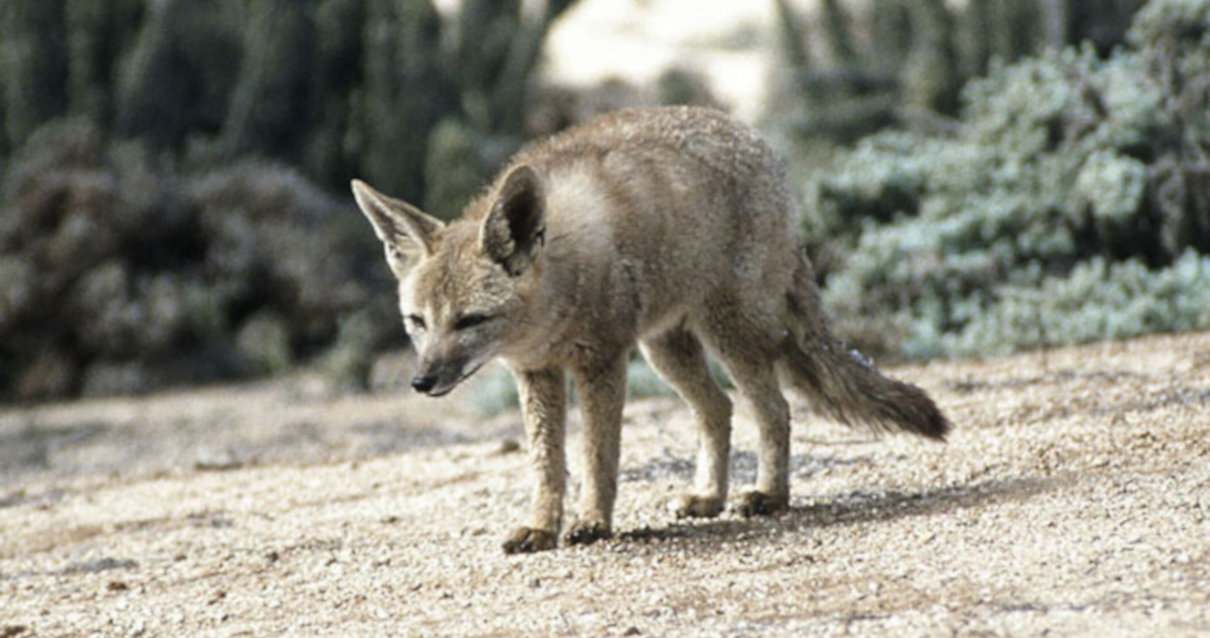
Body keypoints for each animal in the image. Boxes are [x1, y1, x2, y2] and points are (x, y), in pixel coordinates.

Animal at [353, 105, 948, 554]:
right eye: (417, 323)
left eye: (470, 320)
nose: (422, 382)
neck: (556, 295)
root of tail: (757, 142)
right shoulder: (537, 372)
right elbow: (547, 465)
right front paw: (542, 527)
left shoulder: (601, 361)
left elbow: (597, 456)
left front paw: (591, 522)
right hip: (666, 349)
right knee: (719, 409)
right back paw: (709, 497)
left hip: (728, 336)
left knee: (773, 409)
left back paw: (768, 495)